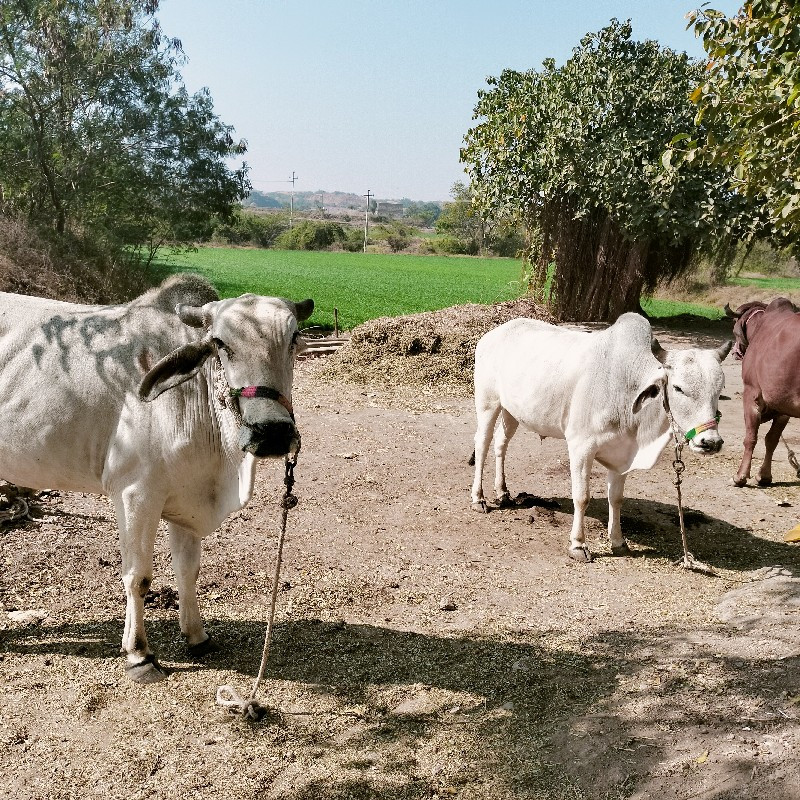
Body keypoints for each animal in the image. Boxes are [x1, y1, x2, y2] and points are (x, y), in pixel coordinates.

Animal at [0, 276, 312, 680]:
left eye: (293, 338)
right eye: (219, 343)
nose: (272, 432)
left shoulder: (185, 498)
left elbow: (187, 569)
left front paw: (197, 636)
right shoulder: (136, 495)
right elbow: (138, 577)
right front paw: (139, 654)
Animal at [472, 314, 736, 564]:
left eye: (719, 389)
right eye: (678, 388)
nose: (710, 442)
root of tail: (494, 333)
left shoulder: (623, 456)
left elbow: (616, 499)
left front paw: (618, 541)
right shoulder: (580, 447)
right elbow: (581, 497)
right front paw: (578, 545)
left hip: (511, 411)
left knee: (501, 443)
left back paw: (502, 492)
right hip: (487, 404)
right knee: (483, 444)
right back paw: (479, 499)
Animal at [724, 298, 800, 488]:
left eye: (734, 329)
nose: (734, 351)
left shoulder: (751, 394)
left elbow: (750, 438)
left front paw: (740, 476)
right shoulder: (782, 406)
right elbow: (772, 439)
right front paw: (764, 475)